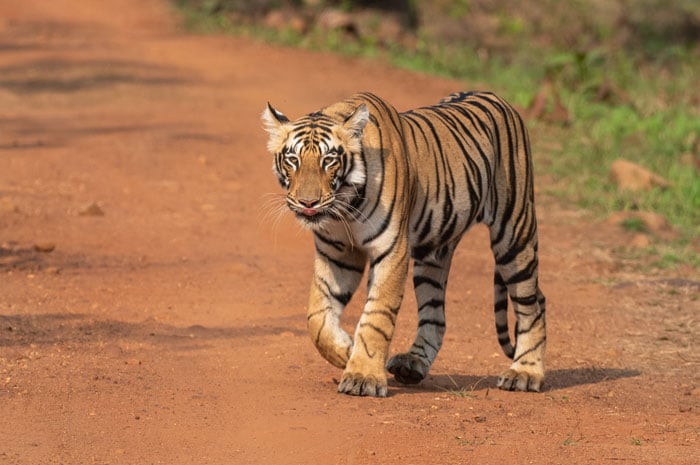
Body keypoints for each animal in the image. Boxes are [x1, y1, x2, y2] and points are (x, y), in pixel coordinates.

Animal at [262, 91, 546, 397]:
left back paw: (525, 373)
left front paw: (363, 376)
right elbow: (316, 316)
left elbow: (376, 316)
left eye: (329, 160)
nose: (308, 203)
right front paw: (345, 350)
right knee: (436, 316)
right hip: (434, 255)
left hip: (514, 234)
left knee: (532, 305)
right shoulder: (337, 253)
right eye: (293, 159)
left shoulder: (391, 251)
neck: (345, 209)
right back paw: (412, 364)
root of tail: (498, 98)